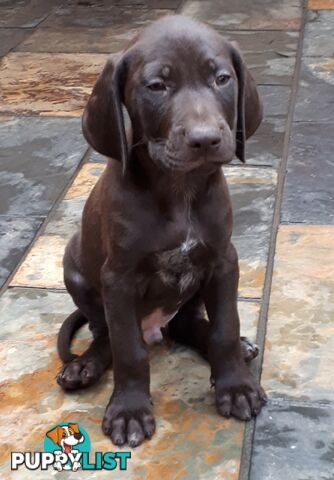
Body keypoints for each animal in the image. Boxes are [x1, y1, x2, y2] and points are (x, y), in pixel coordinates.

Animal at [56, 15, 266, 450]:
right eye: (156, 86)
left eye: (221, 78)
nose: (205, 139)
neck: (178, 189)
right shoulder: (118, 279)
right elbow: (128, 351)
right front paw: (130, 411)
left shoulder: (223, 260)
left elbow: (225, 327)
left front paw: (235, 386)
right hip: (74, 268)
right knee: (105, 335)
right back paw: (85, 367)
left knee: (189, 325)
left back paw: (238, 348)